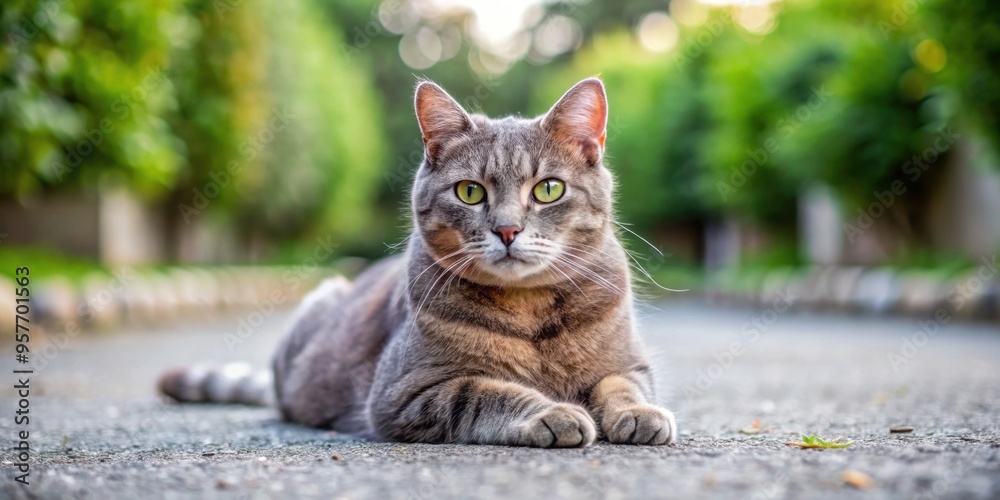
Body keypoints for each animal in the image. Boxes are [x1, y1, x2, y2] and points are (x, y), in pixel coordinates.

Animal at [160, 79, 676, 450]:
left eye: (548, 189)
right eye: (470, 191)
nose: (507, 229)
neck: (528, 309)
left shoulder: (630, 363)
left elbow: (622, 386)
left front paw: (639, 415)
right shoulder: (408, 392)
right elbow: (489, 392)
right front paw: (552, 412)